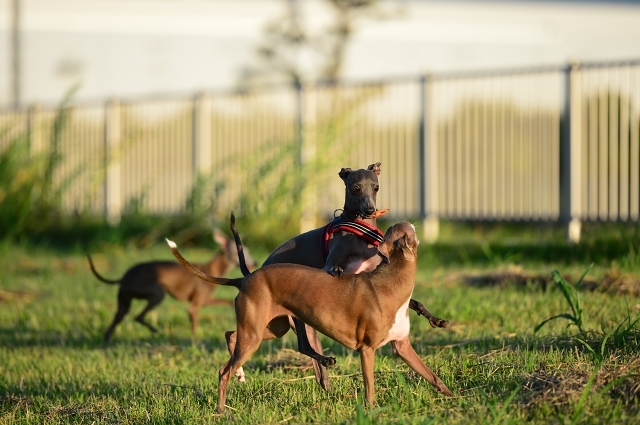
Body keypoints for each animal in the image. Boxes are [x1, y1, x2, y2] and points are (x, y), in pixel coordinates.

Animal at [88, 230, 258, 340]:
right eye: (242, 251)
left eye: (249, 250)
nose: (255, 262)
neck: (211, 268)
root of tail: (124, 277)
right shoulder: (195, 304)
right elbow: (195, 321)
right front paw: (195, 336)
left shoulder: (202, 301)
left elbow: (226, 301)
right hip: (158, 294)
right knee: (138, 316)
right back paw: (154, 330)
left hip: (124, 302)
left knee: (117, 321)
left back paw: (107, 340)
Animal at [168, 222, 452, 410]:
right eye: (407, 230)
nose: (413, 222)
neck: (391, 280)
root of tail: (245, 278)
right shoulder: (367, 349)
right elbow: (369, 386)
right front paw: (372, 409)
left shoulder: (402, 346)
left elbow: (433, 376)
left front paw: (453, 397)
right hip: (257, 334)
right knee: (223, 371)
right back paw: (222, 410)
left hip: (269, 328)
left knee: (230, 335)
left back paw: (240, 374)